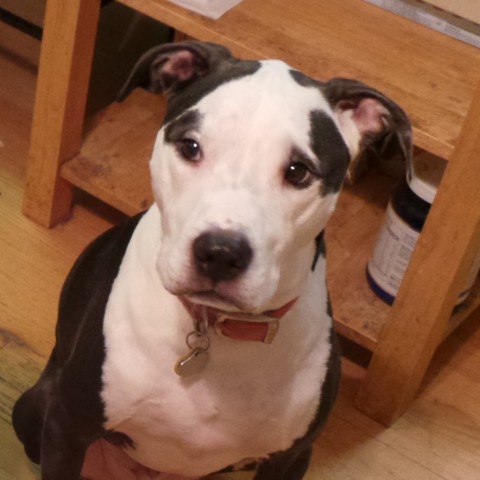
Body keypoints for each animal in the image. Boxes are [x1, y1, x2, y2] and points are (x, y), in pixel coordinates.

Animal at [13, 41, 411, 480]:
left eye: (299, 171)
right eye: (190, 146)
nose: (220, 254)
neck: (216, 328)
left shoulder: (292, 456)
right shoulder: (67, 425)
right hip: (33, 411)